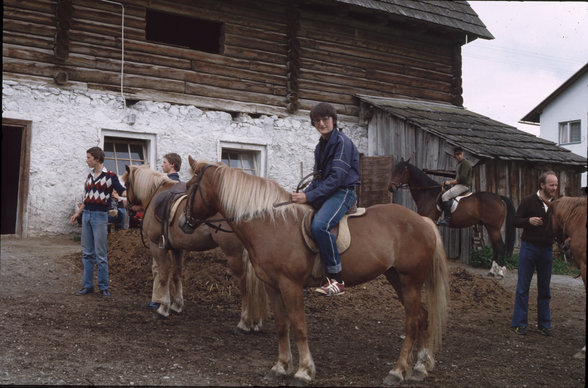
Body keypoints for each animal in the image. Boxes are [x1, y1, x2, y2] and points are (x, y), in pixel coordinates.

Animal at [124, 163, 272, 330]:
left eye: (126, 184)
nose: (127, 206)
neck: (156, 193)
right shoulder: (177, 248)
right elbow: (177, 274)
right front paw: (177, 305)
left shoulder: (157, 246)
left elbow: (163, 276)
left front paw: (163, 308)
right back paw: (256, 321)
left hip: (234, 254)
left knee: (244, 283)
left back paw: (245, 321)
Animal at [181, 157, 448, 384]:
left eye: (190, 186)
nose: (184, 222)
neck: (271, 224)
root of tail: (423, 221)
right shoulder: (272, 285)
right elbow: (282, 325)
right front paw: (280, 367)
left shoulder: (291, 285)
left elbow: (299, 326)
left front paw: (303, 371)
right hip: (396, 278)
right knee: (422, 317)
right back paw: (420, 367)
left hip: (410, 280)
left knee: (412, 322)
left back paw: (398, 371)